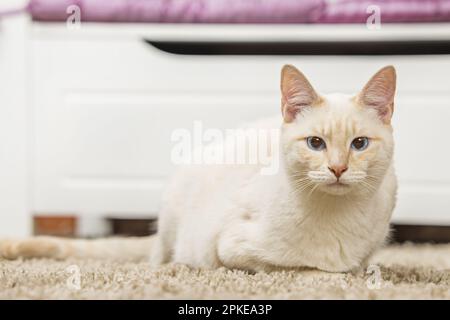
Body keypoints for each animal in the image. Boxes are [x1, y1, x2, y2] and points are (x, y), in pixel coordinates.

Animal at [0, 65, 396, 272]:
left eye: (359, 144)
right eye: (316, 143)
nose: (338, 168)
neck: (335, 216)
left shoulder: (370, 247)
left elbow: (354, 267)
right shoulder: (232, 249)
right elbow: (301, 268)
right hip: (175, 210)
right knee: (159, 257)